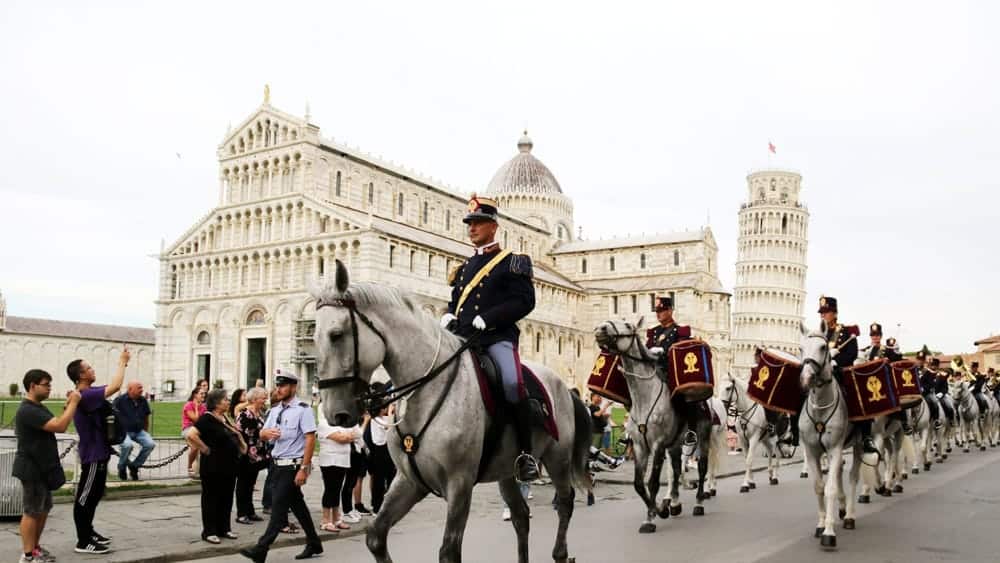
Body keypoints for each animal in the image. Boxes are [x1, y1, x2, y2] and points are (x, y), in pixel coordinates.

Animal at [592, 320, 720, 536]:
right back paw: (674, 504)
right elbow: (638, 484)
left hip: (702, 436)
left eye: (628, 325)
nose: (601, 328)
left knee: (702, 467)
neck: (644, 397)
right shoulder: (639, 446)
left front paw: (652, 517)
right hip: (675, 444)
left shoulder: (658, 445)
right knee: (676, 469)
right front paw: (660, 509)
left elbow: (652, 482)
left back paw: (699, 503)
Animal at [796, 326, 860, 552]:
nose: (806, 378)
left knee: (852, 476)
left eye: (823, 347)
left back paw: (849, 515)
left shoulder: (835, 449)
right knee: (840, 472)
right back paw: (841, 508)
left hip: (858, 445)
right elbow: (819, 487)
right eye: (800, 348)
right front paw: (821, 524)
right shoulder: (812, 451)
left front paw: (829, 533)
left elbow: (830, 488)